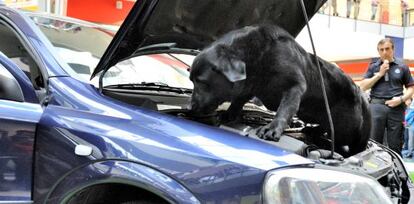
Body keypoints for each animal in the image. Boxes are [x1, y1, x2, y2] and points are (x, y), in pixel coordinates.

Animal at [189, 24, 370, 157]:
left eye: (201, 82)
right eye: (191, 80)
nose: (190, 107)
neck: (258, 56)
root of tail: (359, 92)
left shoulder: (294, 86)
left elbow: (285, 108)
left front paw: (271, 128)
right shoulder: (250, 86)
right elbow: (239, 100)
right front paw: (228, 114)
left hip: (344, 128)